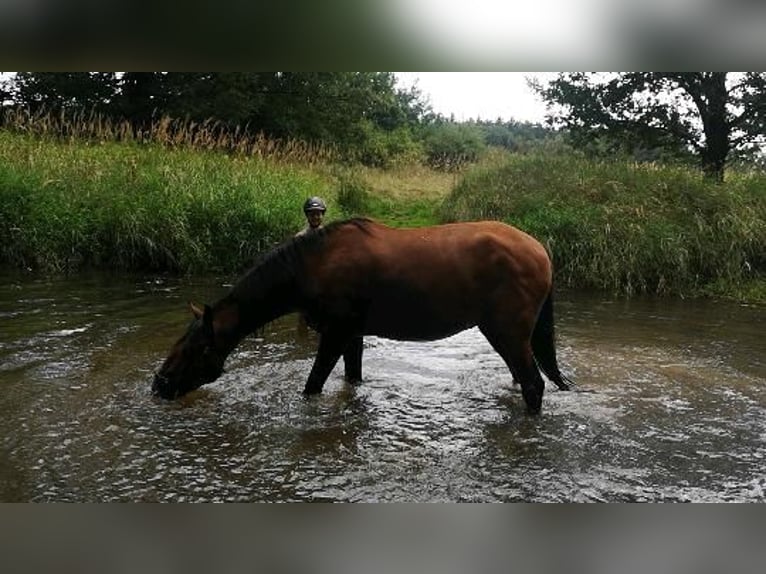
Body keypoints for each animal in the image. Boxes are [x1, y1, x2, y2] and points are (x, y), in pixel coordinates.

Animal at [154, 219, 576, 414]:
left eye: (194, 349)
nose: (159, 384)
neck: (310, 268)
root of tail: (541, 250)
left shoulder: (335, 332)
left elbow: (313, 385)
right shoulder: (353, 334)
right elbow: (351, 378)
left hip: (506, 333)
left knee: (533, 385)